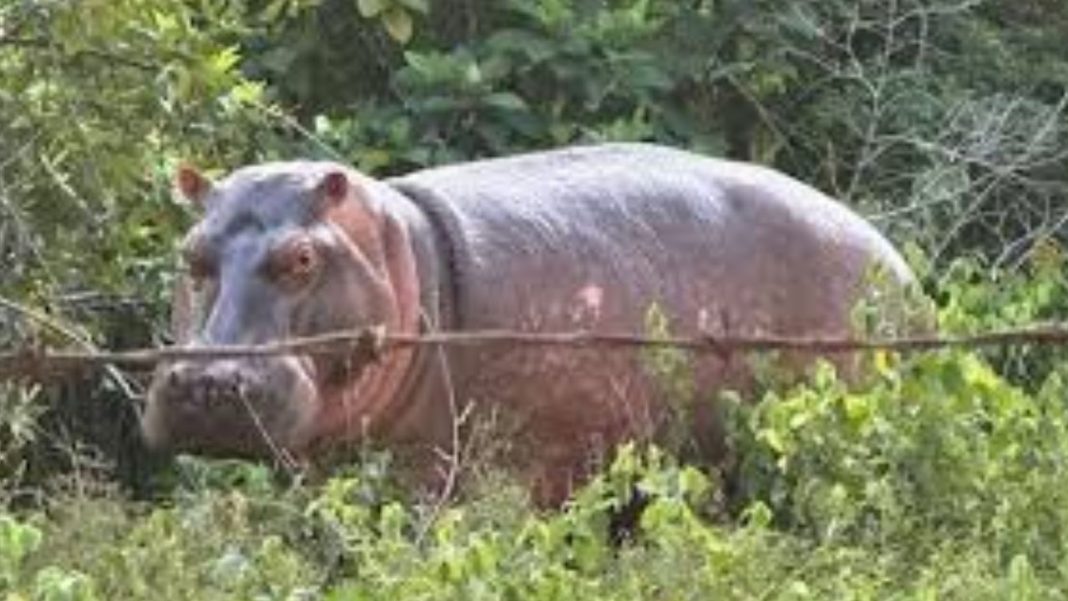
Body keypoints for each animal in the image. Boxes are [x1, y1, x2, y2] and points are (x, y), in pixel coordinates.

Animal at [142, 143, 914, 505]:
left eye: (302, 257)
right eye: (189, 252)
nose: (207, 382)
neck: (399, 244)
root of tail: (898, 262)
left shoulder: (442, 472)